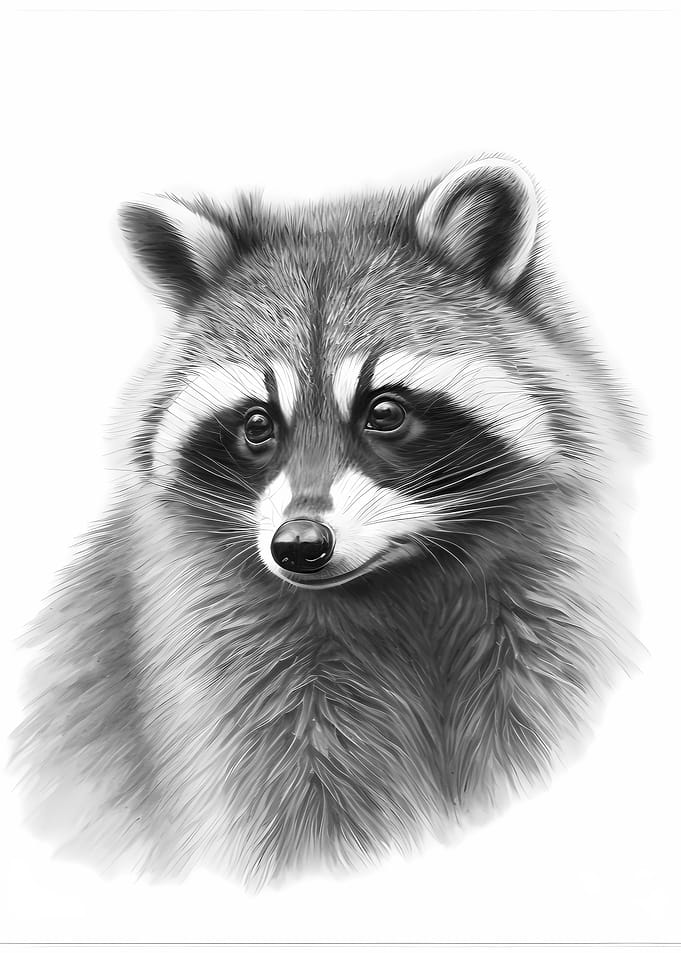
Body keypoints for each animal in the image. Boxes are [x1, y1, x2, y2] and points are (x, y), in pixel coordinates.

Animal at [13, 157, 643, 887]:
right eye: (257, 423)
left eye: (385, 411)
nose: (299, 545)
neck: (397, 582)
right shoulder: (230, 662)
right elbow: (290, 805)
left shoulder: (542, 612)